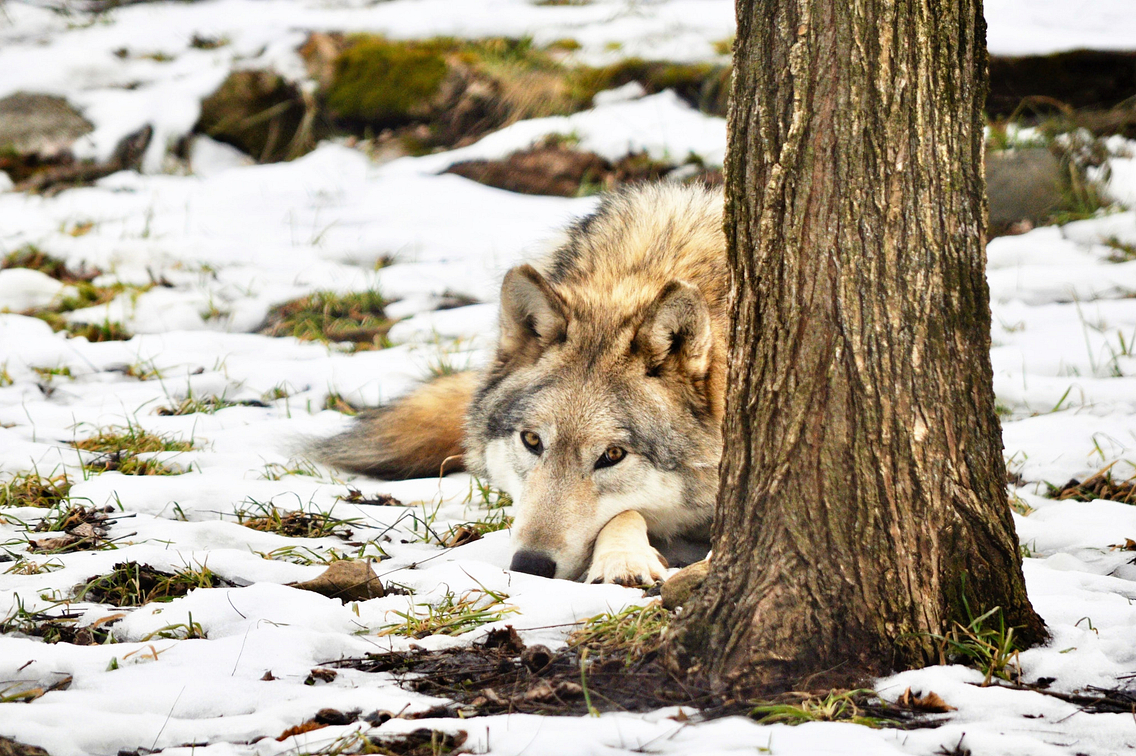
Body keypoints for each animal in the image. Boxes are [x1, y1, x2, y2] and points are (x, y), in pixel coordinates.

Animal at [318, 183, 727, 582]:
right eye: (532, 440)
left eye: (613, 455)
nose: (531, 566)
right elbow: (628, 513)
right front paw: (624, 558)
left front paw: (623, 561)